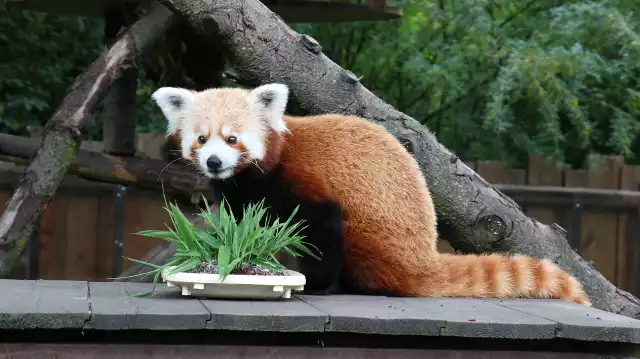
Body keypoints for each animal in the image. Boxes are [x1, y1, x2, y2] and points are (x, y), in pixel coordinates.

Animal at [152, 83, 592, 306]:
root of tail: (423, 260)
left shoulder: (298, 181)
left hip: (376, 238)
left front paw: (315, 284)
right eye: (201, 138)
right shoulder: (243, 191)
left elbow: (323, 223)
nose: (213, 162)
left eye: (232, 139)